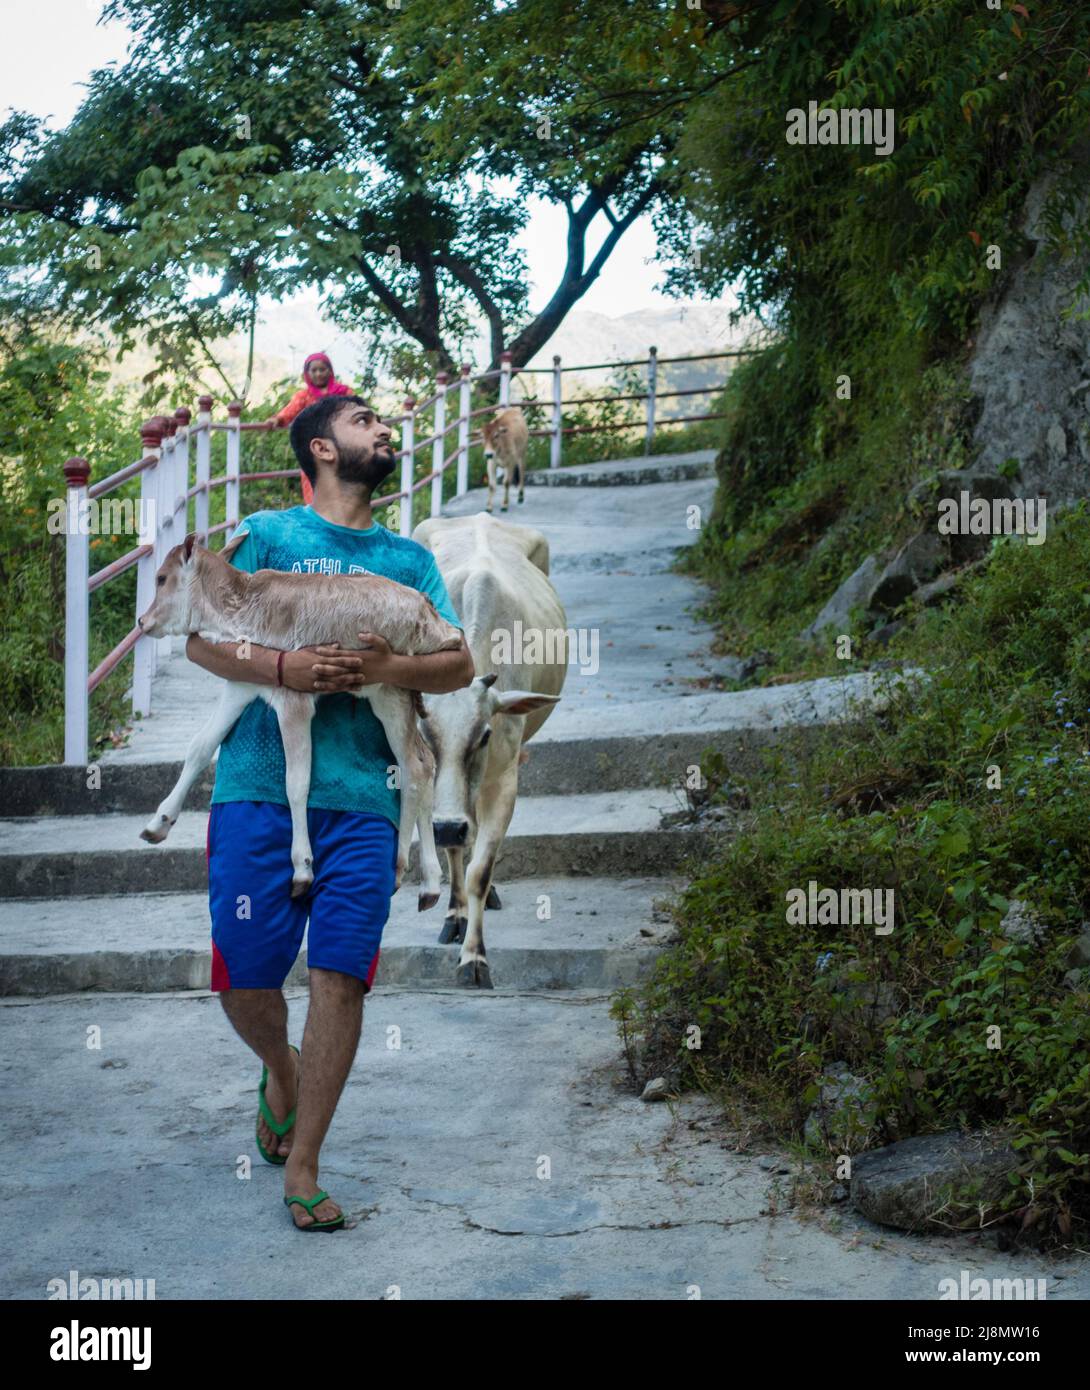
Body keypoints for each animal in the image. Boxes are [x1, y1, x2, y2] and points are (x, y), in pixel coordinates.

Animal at [136, 525, 458, 906]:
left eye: (161, 578)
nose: (142, 621)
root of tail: (435, 615)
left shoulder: (295, 700)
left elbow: (296, 781)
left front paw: (303, 869)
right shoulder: (241, 683)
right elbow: (200, 747)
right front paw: (157, 824)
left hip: (391, 689)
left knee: (414, 767)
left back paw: (402, 866)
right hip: (392, 696)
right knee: (423, 760)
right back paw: (428, 882)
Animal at [414, 514, 570, 989]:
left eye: (484, 734)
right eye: (425, 734)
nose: (448, 826)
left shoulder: (501, 780)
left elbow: (479, 870)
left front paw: (474, 958)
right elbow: (453, 852)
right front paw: (456, 916)